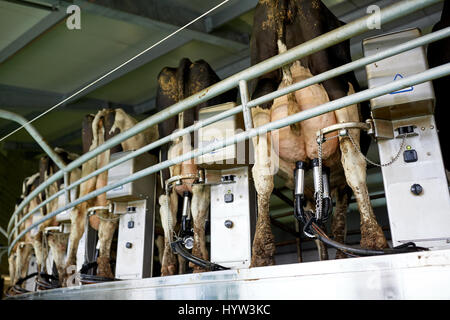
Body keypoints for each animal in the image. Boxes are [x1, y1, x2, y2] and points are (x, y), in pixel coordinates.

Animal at [250, 0, 386, 268]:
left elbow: (315, 227)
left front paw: (324, 257)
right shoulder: (339, 187)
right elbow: (339, 221)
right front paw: (340, 255)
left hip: (261, 101)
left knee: (262, 175)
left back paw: (260, 254)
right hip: (338, 89)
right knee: (353, 164)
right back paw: (375, 241)